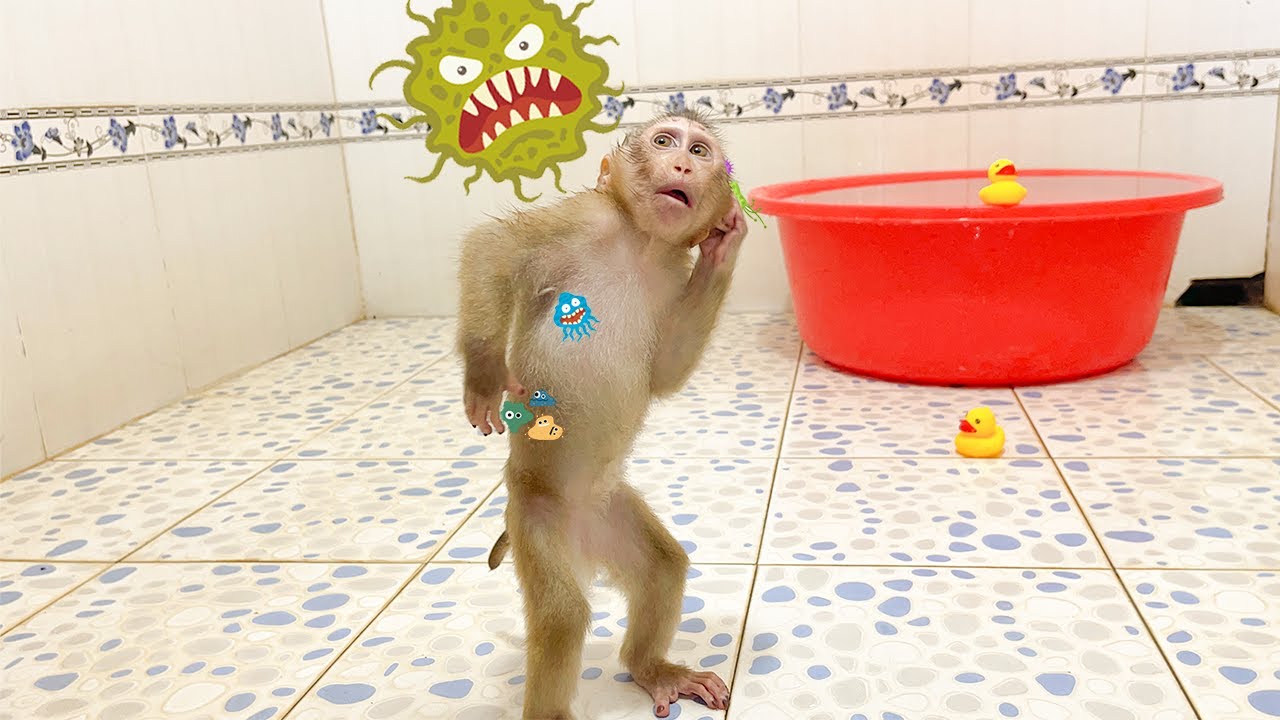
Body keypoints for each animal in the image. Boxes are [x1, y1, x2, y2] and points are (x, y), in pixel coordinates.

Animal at [455, 108, 747, 720]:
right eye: (664, 141)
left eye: (701, 151)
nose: (682, 165)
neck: (640, 242)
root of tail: (580, 537)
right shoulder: (584, 219)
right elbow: (494, 247)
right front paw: (485, 369)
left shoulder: (674, 270)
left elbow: (663, 373)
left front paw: (724, 247)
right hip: (537, 520)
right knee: (563, 617)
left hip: (609, 513)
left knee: (661, 569)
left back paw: (651, 668)